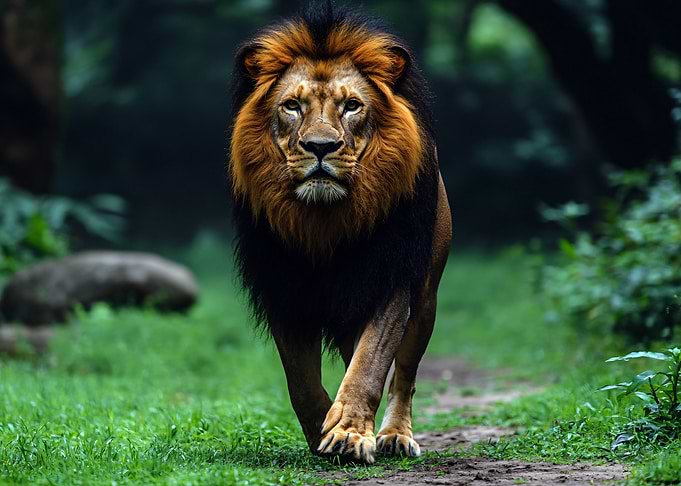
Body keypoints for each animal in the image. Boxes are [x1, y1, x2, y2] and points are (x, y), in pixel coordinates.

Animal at [228, 5, 452, 464]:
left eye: (351, 106)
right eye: (292, 106)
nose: (320, 146)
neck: (324, 221)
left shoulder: (389, 281)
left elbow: (369, 366)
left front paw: (349, 434)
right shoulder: (284, 290)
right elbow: (301, 381)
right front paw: (323, 431)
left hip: (426, 302)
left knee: (404, 374)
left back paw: (394, 435)